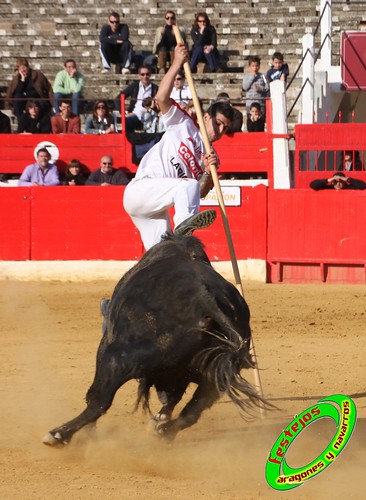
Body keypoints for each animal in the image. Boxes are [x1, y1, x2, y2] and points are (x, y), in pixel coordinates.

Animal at [43, 232, 268, 448]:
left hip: (118, 358)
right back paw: (163, 431)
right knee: (191, 412)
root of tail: (205, 299)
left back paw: (59, 434)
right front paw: (159, 420)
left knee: (100, 400)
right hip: (215, 377)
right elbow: (176, 399)